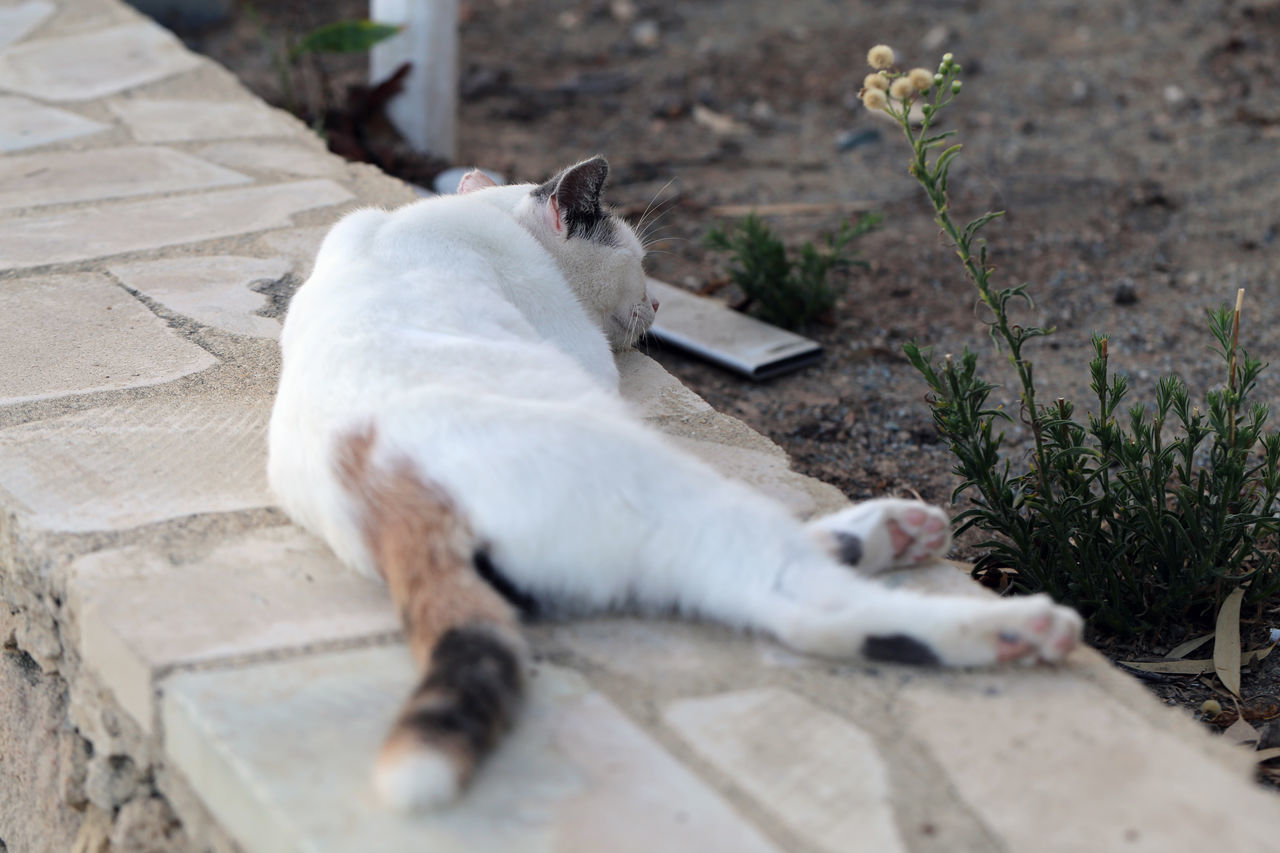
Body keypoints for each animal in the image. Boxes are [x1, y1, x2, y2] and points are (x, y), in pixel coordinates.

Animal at [267, 154, 1080, 809]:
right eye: (638, 260)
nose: (659, 304)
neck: (464, 215)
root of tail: (390, 500)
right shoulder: (581, 350)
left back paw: (892, 533)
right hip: (658, 480)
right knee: (794, 600)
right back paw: (1017, 626)